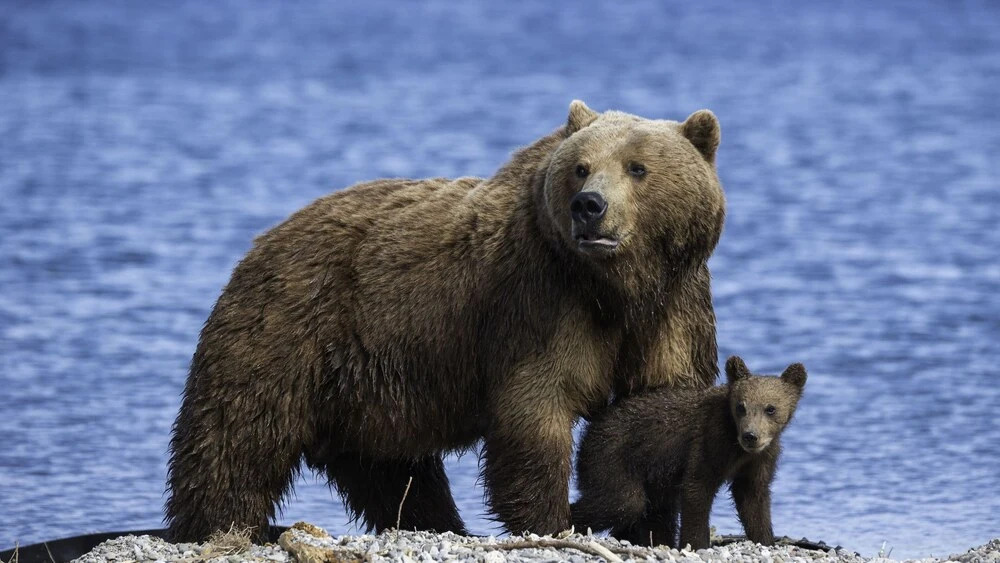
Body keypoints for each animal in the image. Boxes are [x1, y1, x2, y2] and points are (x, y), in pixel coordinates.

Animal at [164, 100, 727, 541]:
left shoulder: (675, 304)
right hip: (287, 330)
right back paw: (217, 525)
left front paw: (652, 524)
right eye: (581, 167)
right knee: (237, 437)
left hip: (368, 386)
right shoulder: (539, 302)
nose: (589, 206)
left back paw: (437, 524)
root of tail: (262, 242)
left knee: (390, 470)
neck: (616, 286)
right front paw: (551, 520)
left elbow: (658, 405)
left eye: (637, 167)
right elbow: (537, 406)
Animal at [571, 356, 807, 550]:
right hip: (612, 455)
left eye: (770, 408)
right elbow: (697, 489)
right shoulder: (710, 441)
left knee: (655, 511)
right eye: (741, 407)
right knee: (621, 501)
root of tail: (594, 423)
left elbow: (753, 498)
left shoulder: (759, 459)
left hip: (653, 476)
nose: (750, 436)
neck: (737, 448)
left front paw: (765, 539)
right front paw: (696, 544)